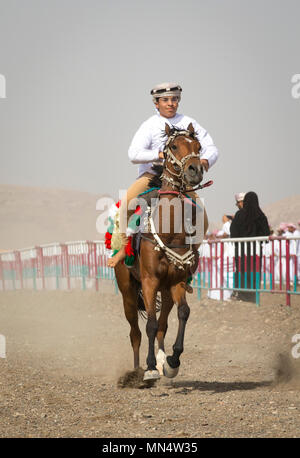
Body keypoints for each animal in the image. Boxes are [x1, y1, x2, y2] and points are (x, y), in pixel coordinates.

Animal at [113, 121, 205, 382]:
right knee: (135, 332)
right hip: (128, 292)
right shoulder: (149, 281)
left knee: (163, 324)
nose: (195, 170)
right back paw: (137, 370)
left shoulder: (177, 281)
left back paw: (164, 360)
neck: (170, 233)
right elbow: (150, 326)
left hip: (165, 292)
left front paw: (172, 361)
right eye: (173, 146)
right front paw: (151, 367)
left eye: (198, 146)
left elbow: (183, 313)